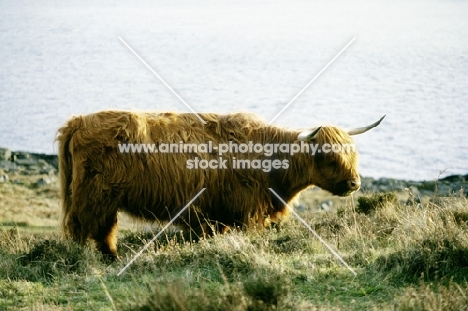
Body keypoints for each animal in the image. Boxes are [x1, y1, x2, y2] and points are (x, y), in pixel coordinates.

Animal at [56, 111, 384, 260]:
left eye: (352, 153)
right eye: (327, 155)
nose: (354, 183)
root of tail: (78, 121)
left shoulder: (217, 216)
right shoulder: (249, 213)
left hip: (104, 199)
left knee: (103, 229)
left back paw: (111, 257)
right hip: (94, 196)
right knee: (82, 225)